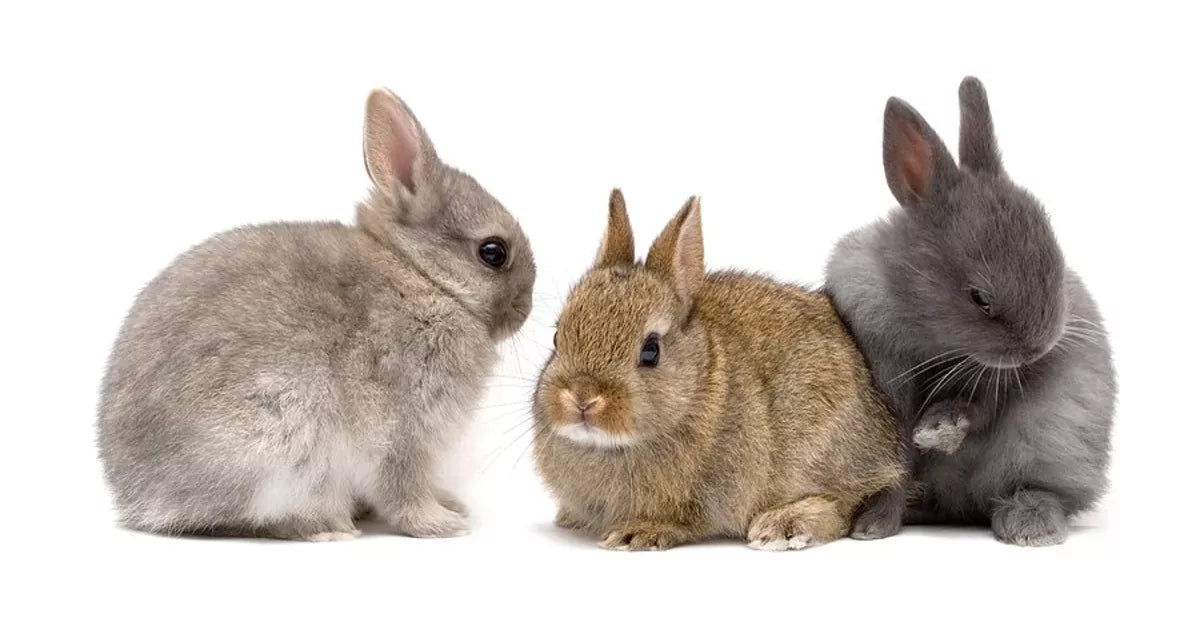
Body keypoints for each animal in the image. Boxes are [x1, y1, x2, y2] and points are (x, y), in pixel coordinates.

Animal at [97, 88, 535, 540]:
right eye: (493, 252)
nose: (526, 309)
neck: (423, 276)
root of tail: (137, 495)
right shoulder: (401, 431)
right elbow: (402, 488)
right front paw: (441, 524)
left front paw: (451, 505)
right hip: (277, 441)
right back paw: (326, 526)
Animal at [531, 190, 902, 551]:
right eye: (557, 336)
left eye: (650, 351)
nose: (582, 398)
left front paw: (637, 534)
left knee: (843, 506)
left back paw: (781, 527)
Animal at [824, 77, 1116, 546]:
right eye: (980, 297)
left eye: (1055, 255)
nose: (1039, 348)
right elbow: (896, 463)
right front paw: (873, 526)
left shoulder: (997, 382)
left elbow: (980, 411)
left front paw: (940, 429)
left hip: (1052, 439)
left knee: (1035, 488)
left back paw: (1031, 525)